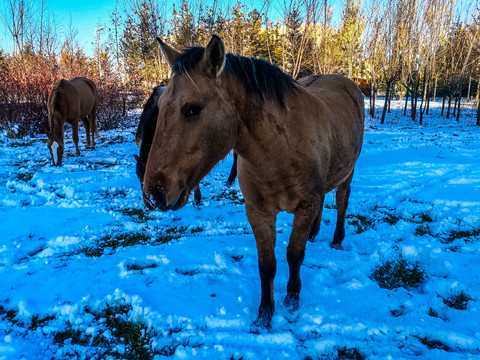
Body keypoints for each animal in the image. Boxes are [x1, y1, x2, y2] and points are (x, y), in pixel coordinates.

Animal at [142, 35, 364, 332]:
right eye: (161, 105)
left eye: (192, 109)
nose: (154, 192)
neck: (279, 150)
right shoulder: (258, 212)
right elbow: (266, 264)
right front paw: (264, 314)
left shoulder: (305, 206)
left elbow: (294, 254)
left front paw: (292, 300)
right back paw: (315, 233)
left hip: (347, 174)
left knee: (341, 201)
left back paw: (337, 240)